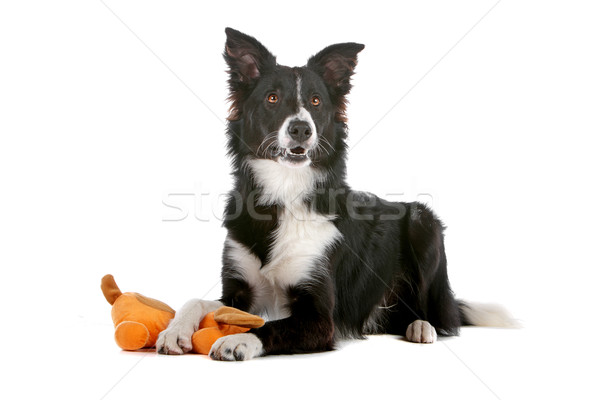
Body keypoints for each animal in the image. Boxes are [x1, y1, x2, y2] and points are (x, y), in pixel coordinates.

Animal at [156, 27, 510, 360]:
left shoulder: (319, 317)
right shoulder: (240, 292)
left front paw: (237, 340)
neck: (285, 190)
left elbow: (270, 327)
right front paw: (176, 330)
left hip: (424, 221)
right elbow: (198, 301)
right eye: (272, 98)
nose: (301, 128)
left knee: (439, 315)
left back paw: (422, 326)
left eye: (315, 101)